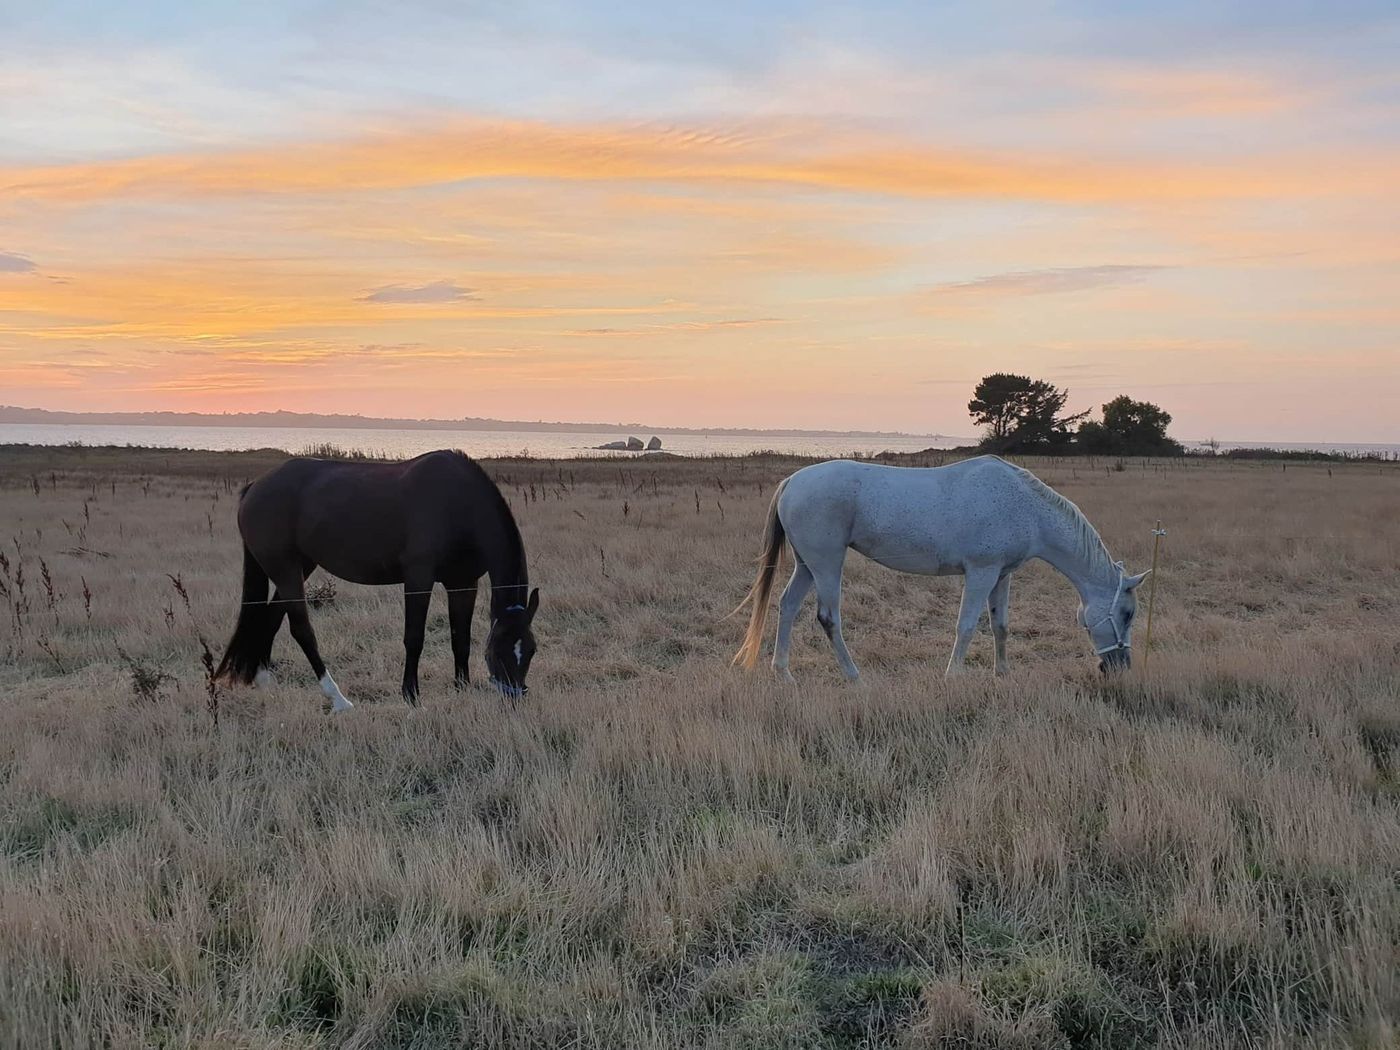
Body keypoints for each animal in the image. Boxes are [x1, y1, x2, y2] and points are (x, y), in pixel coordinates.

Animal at [214, 450, 539, 711]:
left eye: (531, 650)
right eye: (499, 650)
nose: (514, 699)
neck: (458, 504)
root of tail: (255, 488)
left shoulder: (463, 583)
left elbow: (461, 639)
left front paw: (462, 689)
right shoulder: (418, 578)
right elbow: (414, 638)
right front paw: (411, 695)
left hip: (298, 567)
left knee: (271, 617)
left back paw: (264, 681)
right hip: (285, 569)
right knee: (301, 629)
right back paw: (338, 699)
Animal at [733, 455, 1148, 681]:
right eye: (1126, 613)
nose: (1121, 666)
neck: (1026, 507)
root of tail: (792, 481)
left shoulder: (1002, 575)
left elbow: (1000, 626)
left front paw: (1002, 674)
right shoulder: (981, 573)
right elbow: (966, 627)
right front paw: (953, 675)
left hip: (807, 565)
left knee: (787, 607)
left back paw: (783, 673)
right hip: (826, 564)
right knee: (828, 618)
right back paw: (854, 676)